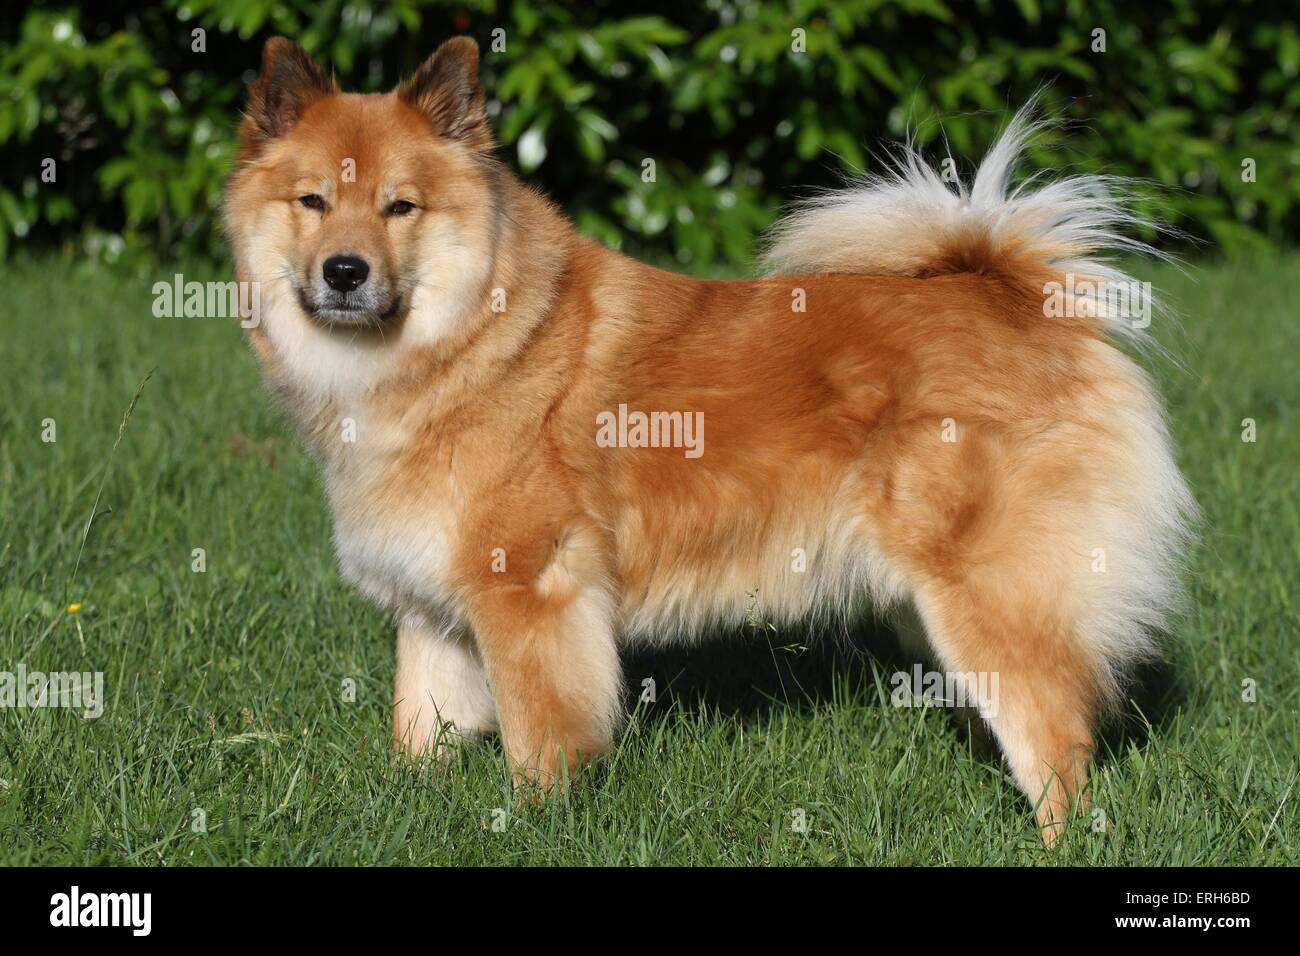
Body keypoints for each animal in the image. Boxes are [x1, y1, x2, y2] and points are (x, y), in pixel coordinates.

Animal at [223, 36, 1195, 844]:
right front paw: (407, 802)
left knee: (1057, 737)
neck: (462, 344)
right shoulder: (430, 606)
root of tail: (1014, 295)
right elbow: (419, 726)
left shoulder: (531, 596)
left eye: (401, 208)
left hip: (988, 592)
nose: (344, 272)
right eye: (313, 202)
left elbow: (539, 741)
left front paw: (533, 827)